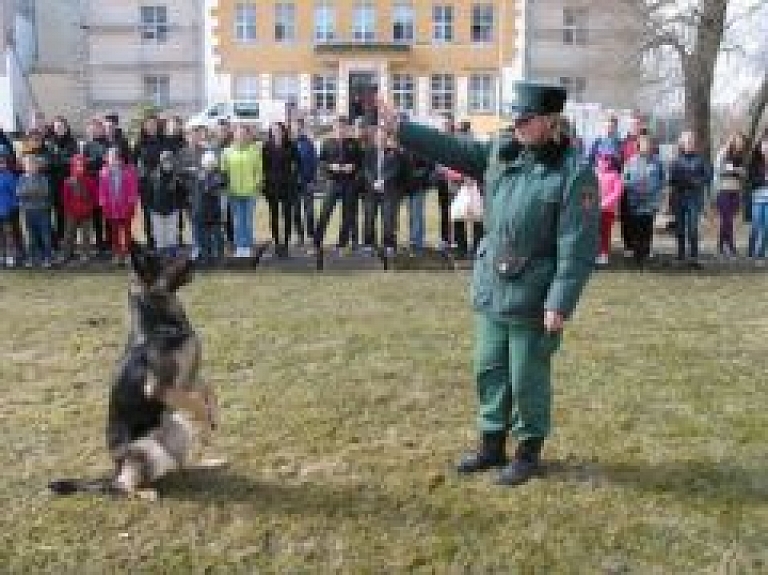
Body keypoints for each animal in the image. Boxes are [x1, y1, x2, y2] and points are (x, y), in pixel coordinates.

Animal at [49, 243, 219, 500]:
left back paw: (208, 464)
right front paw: (207, 422)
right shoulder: (161, 387)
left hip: (178, 430)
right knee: (124, 486)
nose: (195, 255)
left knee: (177, 465)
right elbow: (196, 403)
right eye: (166, 258)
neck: (159, 321)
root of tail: (115, 470)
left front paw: (213, 417)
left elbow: (209, 390)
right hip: (146, 449)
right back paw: (145, 493)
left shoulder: (189, 378)